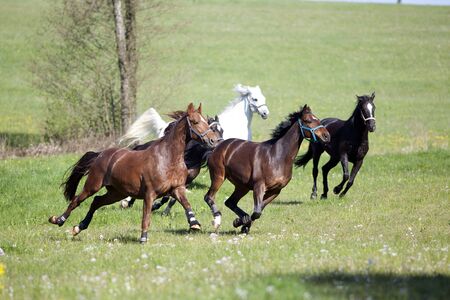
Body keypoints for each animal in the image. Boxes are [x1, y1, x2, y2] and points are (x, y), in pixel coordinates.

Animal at [49, 103, 221, 244]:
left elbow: (185, 204)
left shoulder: (177, 188)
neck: (168, 158)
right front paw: (143, 238)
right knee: (77, 200)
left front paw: (194, 224)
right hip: (93, 185)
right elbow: (146, 216)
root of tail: (101, 154)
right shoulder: (149, 193)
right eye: (195, 122)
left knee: (97, 202)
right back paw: (59, 220)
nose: (214, 141)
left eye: (207, 122)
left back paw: (79, 227)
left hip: (116, 192)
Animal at [118, 84, 268, 211]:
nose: (265, 113)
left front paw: (162, 209)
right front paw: (156, 206)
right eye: (255, 99)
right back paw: (126, 201)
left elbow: (171, 198)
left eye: (222, 130)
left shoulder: (186, 181)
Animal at [202, 105, 328, 234]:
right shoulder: (259, 186)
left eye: (318, 119)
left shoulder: (275, 191)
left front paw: (242, 224)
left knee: (230, 202)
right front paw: (240, 223)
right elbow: (257, 212)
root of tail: (218, 146)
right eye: (308, 121)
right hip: (219, 176)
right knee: (209, 197)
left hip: (242, 186)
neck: (277, 156)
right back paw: (217, 220)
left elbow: (258, 211)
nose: (326, 136)